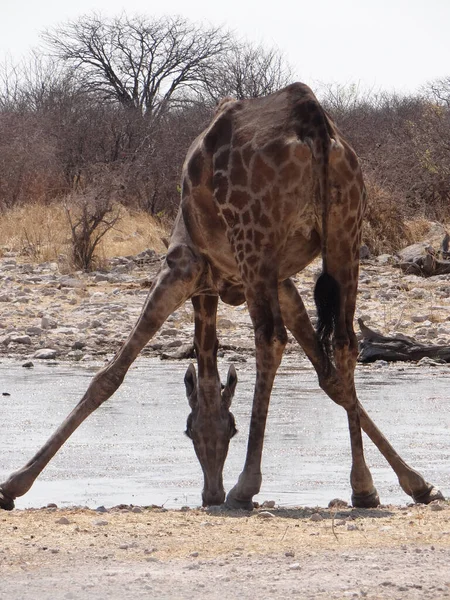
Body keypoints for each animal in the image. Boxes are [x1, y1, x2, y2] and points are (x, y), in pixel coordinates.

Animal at [0, 81, 442, 510]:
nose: (210, 492)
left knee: (270, 339)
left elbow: (110, 374)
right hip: (344, 235)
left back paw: (245, 489)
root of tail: (314, 124)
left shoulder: (183, 267)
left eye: (196, 430)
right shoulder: (279, 283)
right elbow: (327, 377)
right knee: (345, 343)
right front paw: (415, 483)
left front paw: (14, 484)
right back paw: (360, 488)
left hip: (256, 240)